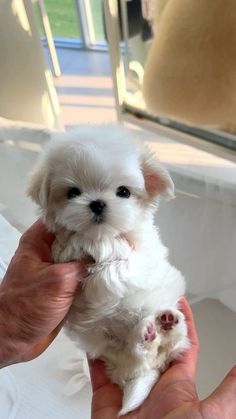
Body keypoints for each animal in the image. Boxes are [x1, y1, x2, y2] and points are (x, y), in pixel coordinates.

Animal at [27, 124, 188, 416]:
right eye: (73, 192)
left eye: (123, 192)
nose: (98, 203)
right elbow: (68, 247)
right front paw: (77, 244)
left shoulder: (140, 254)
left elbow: (117, 258)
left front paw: (99, 247)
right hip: (110, 349)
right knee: (138, 358)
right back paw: (149, 334)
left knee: (168, 346)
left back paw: (166, 324)